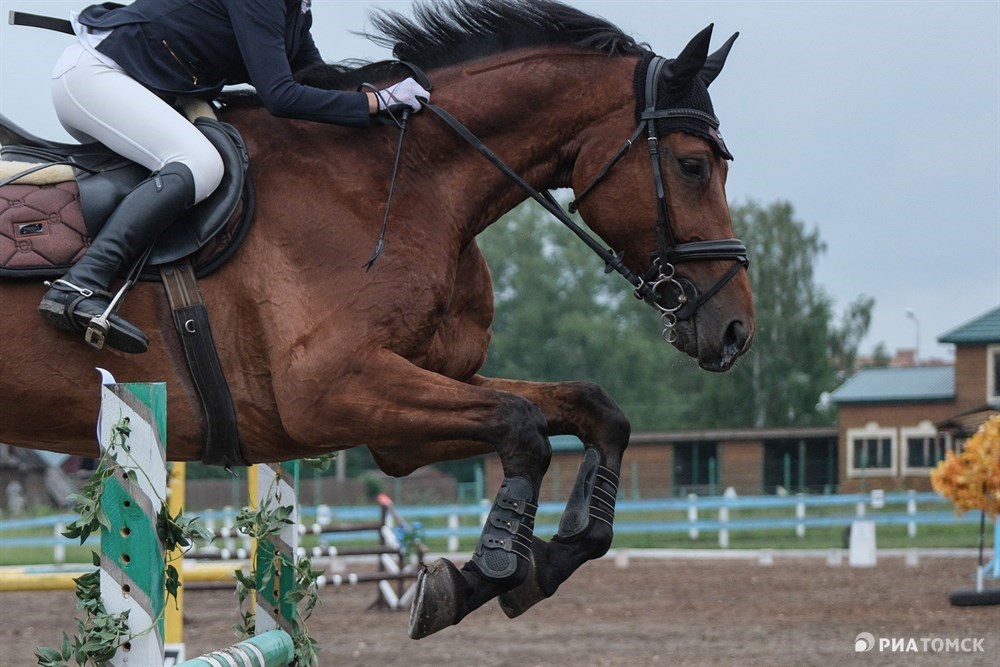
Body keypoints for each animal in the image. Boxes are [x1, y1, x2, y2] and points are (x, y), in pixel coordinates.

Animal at [0, 0, 752, 636]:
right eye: (692, 165)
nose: (734, 330)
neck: (407, 184)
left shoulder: (404, 412)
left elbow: (594, 411)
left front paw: (554, 554)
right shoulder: (332, 392)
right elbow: (523, 428)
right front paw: (478, 576)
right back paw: (81, 303)